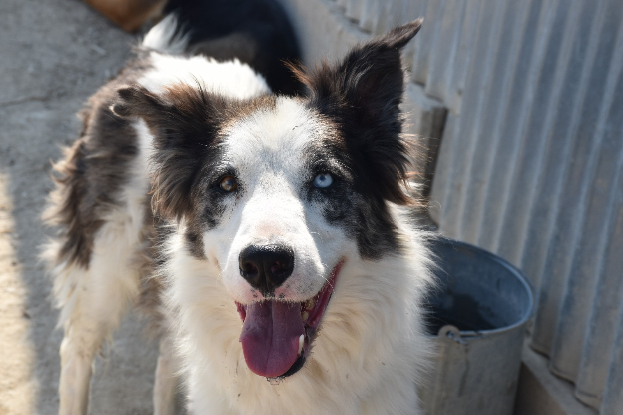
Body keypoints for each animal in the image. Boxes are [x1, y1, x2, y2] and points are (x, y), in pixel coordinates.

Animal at [43, 0, 434, 413]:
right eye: (226, 183)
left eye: (325, 179)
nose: (264, 263)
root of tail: (153, 56)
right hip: (102, 268)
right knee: (75, 353)